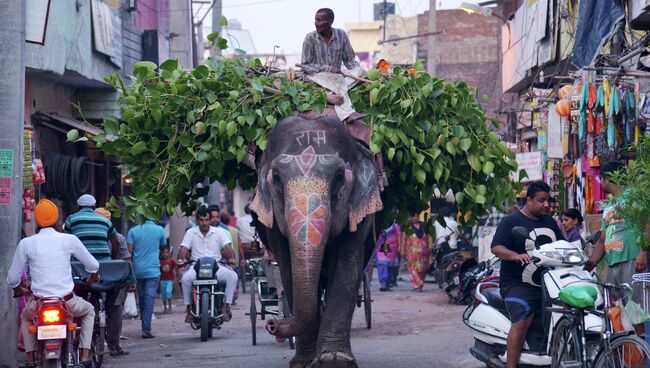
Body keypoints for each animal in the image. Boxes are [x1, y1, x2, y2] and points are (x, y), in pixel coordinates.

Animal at [248, 115, 380, 368]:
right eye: (276, 177)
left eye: (339, 176)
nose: (272, 325)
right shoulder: (274, 225)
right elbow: (287, 271)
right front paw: (304, 363)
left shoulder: (359, 214)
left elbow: (347, 266)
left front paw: (334, 360)